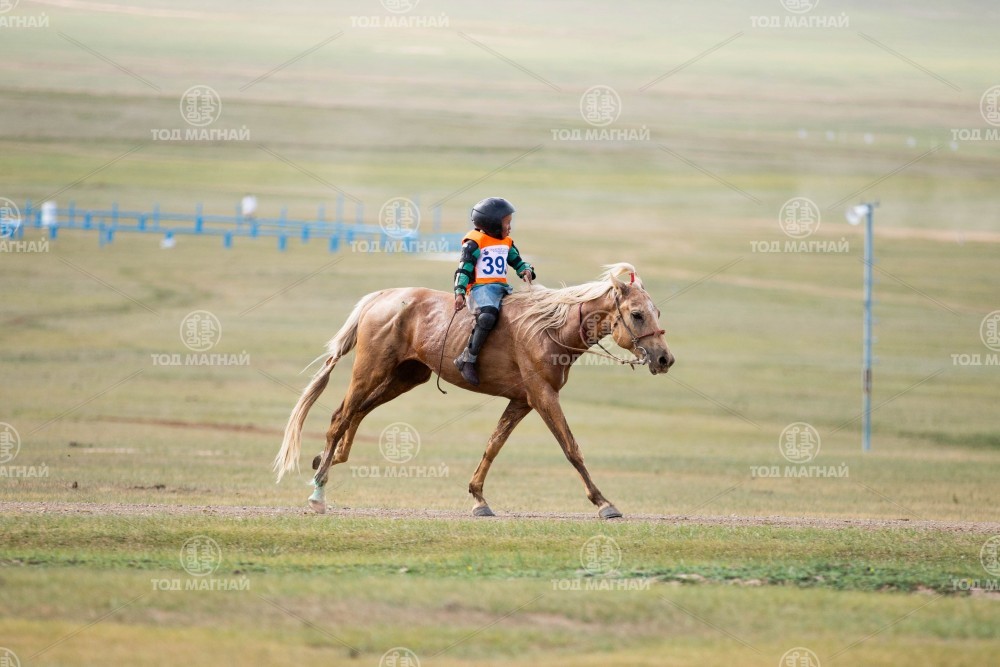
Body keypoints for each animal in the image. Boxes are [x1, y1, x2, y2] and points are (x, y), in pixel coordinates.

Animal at [273, 262, 675, 519]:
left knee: (354, 413)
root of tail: (380, 297)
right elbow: (571, 448)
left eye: (656, 311)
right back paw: (318, 492)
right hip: (371, 370)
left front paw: (478, 498)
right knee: (340, 417)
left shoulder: (522, 400)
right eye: (637, 314)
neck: (550, 327)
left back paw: (327, 462)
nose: (665, 358)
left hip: (405, 377)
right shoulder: (543, 396)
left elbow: (493, 445)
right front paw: (604, 503)